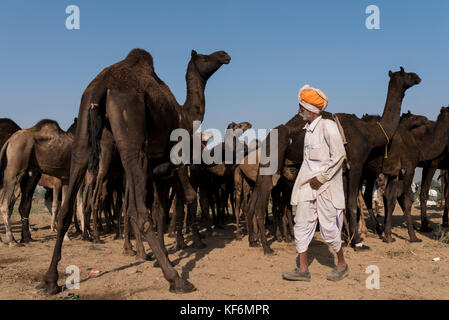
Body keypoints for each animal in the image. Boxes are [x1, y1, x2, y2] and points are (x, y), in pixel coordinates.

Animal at [36, 48, 229, 296]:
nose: (224, 55)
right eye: (205, 57)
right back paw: (176, 279)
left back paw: (50, 281)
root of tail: (102, 85)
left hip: (83, 132)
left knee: (67, 207)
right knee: (137, 210)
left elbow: (161, 208)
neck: (185, 113)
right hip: (130, 132)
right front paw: (185, 246)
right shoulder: (173, 152)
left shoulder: (157, 162)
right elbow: (182, 199)